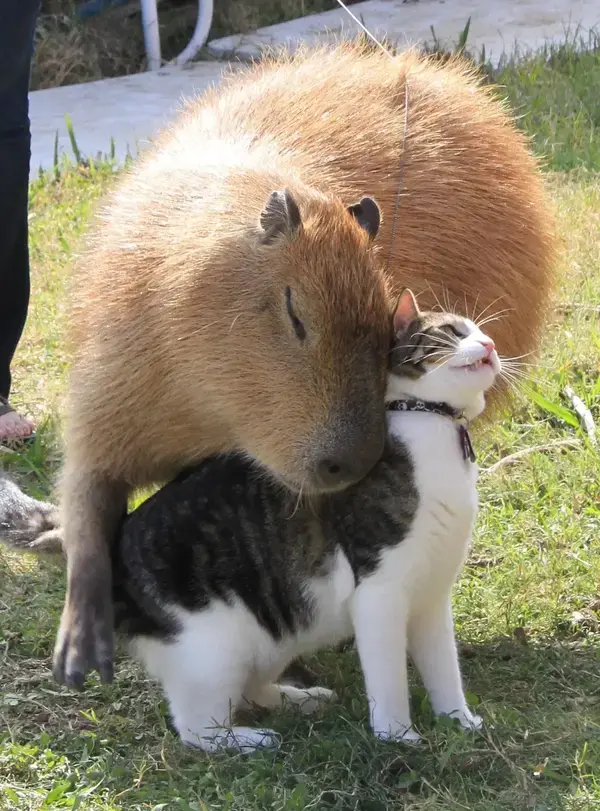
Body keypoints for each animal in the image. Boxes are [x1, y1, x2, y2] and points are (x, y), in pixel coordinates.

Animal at [0, 290, 502, 756]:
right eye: (455, 332)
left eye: (480, 332)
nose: (491, 344)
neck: (433, 430)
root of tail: (110, 545)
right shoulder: (379, 594)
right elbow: (390, 679)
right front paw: (398, 738)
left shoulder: (431, 596)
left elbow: (444, 668)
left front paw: (459, 721)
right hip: (214, 651)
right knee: (197, 728)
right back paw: (250, 740)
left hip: (275, 634)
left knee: (251, 688)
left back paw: (299, 699)